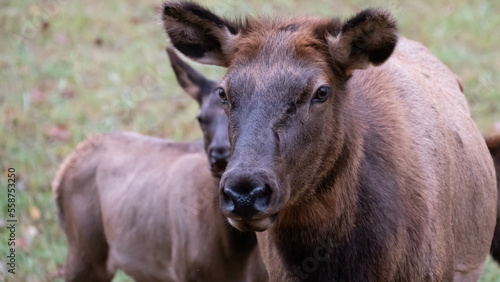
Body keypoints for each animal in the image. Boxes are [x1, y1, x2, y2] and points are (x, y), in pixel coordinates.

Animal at [52, 49, 268, 282]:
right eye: (201, 118)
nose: (219, 156)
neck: (238, 253)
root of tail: (63, 170)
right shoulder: (187, 271)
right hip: (82, 251)